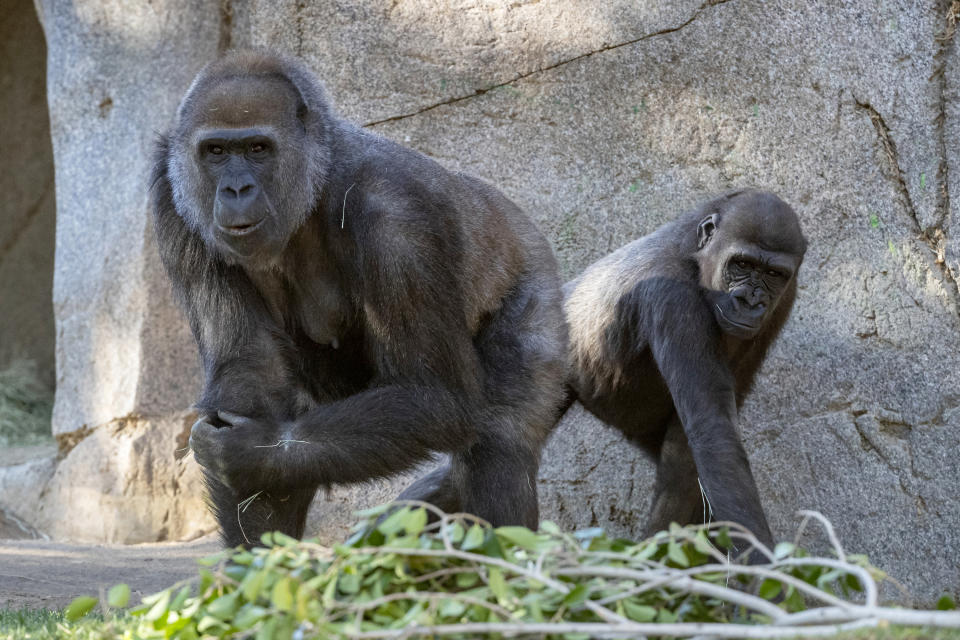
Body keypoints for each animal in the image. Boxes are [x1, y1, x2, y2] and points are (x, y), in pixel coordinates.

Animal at [151, 52, 568, 548]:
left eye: (258, 149)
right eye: (215, 152)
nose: (236, 190)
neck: (316, 177)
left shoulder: (396, 215)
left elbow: (433, 393)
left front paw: (252, 450)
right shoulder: (170, 195)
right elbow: (250, 372)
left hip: (532, 279)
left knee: (498, 441)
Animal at [560, 189, 808, 552]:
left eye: (774, 274)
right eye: (742, 264)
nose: (751, 301)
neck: (695, 255)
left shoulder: (785, 298)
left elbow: (698, 450)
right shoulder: (674, 295)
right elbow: (713, 432)